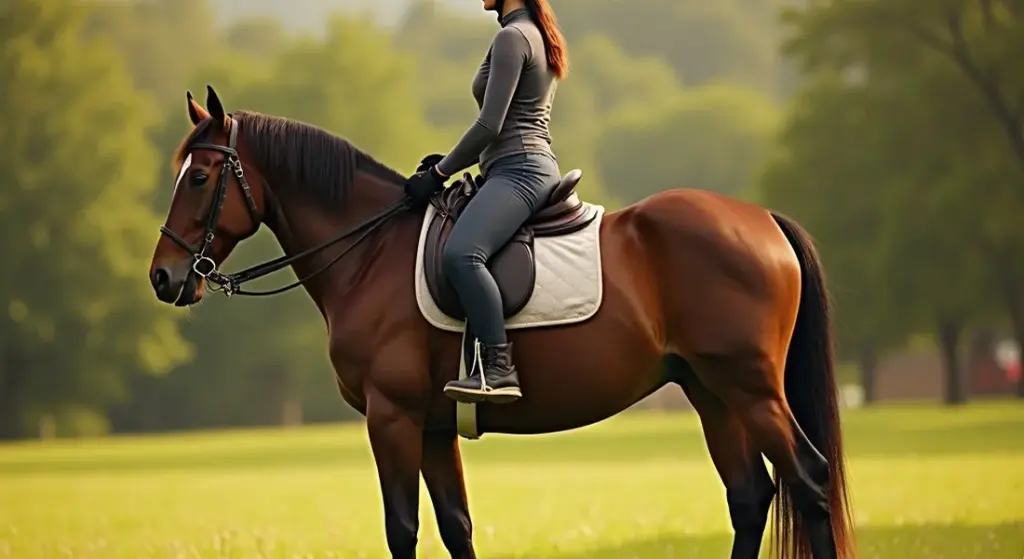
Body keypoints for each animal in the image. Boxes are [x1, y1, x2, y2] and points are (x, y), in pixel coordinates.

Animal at [148, 85, 855, 559]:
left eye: (201, 176)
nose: (163, 277)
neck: (370, 250)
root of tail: (762, 220)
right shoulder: (432, 424)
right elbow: (455, 525)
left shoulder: (392, 415)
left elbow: (403, 528)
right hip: (711, 390)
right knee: (750, 496)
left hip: (750, 388)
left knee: (809, 481)